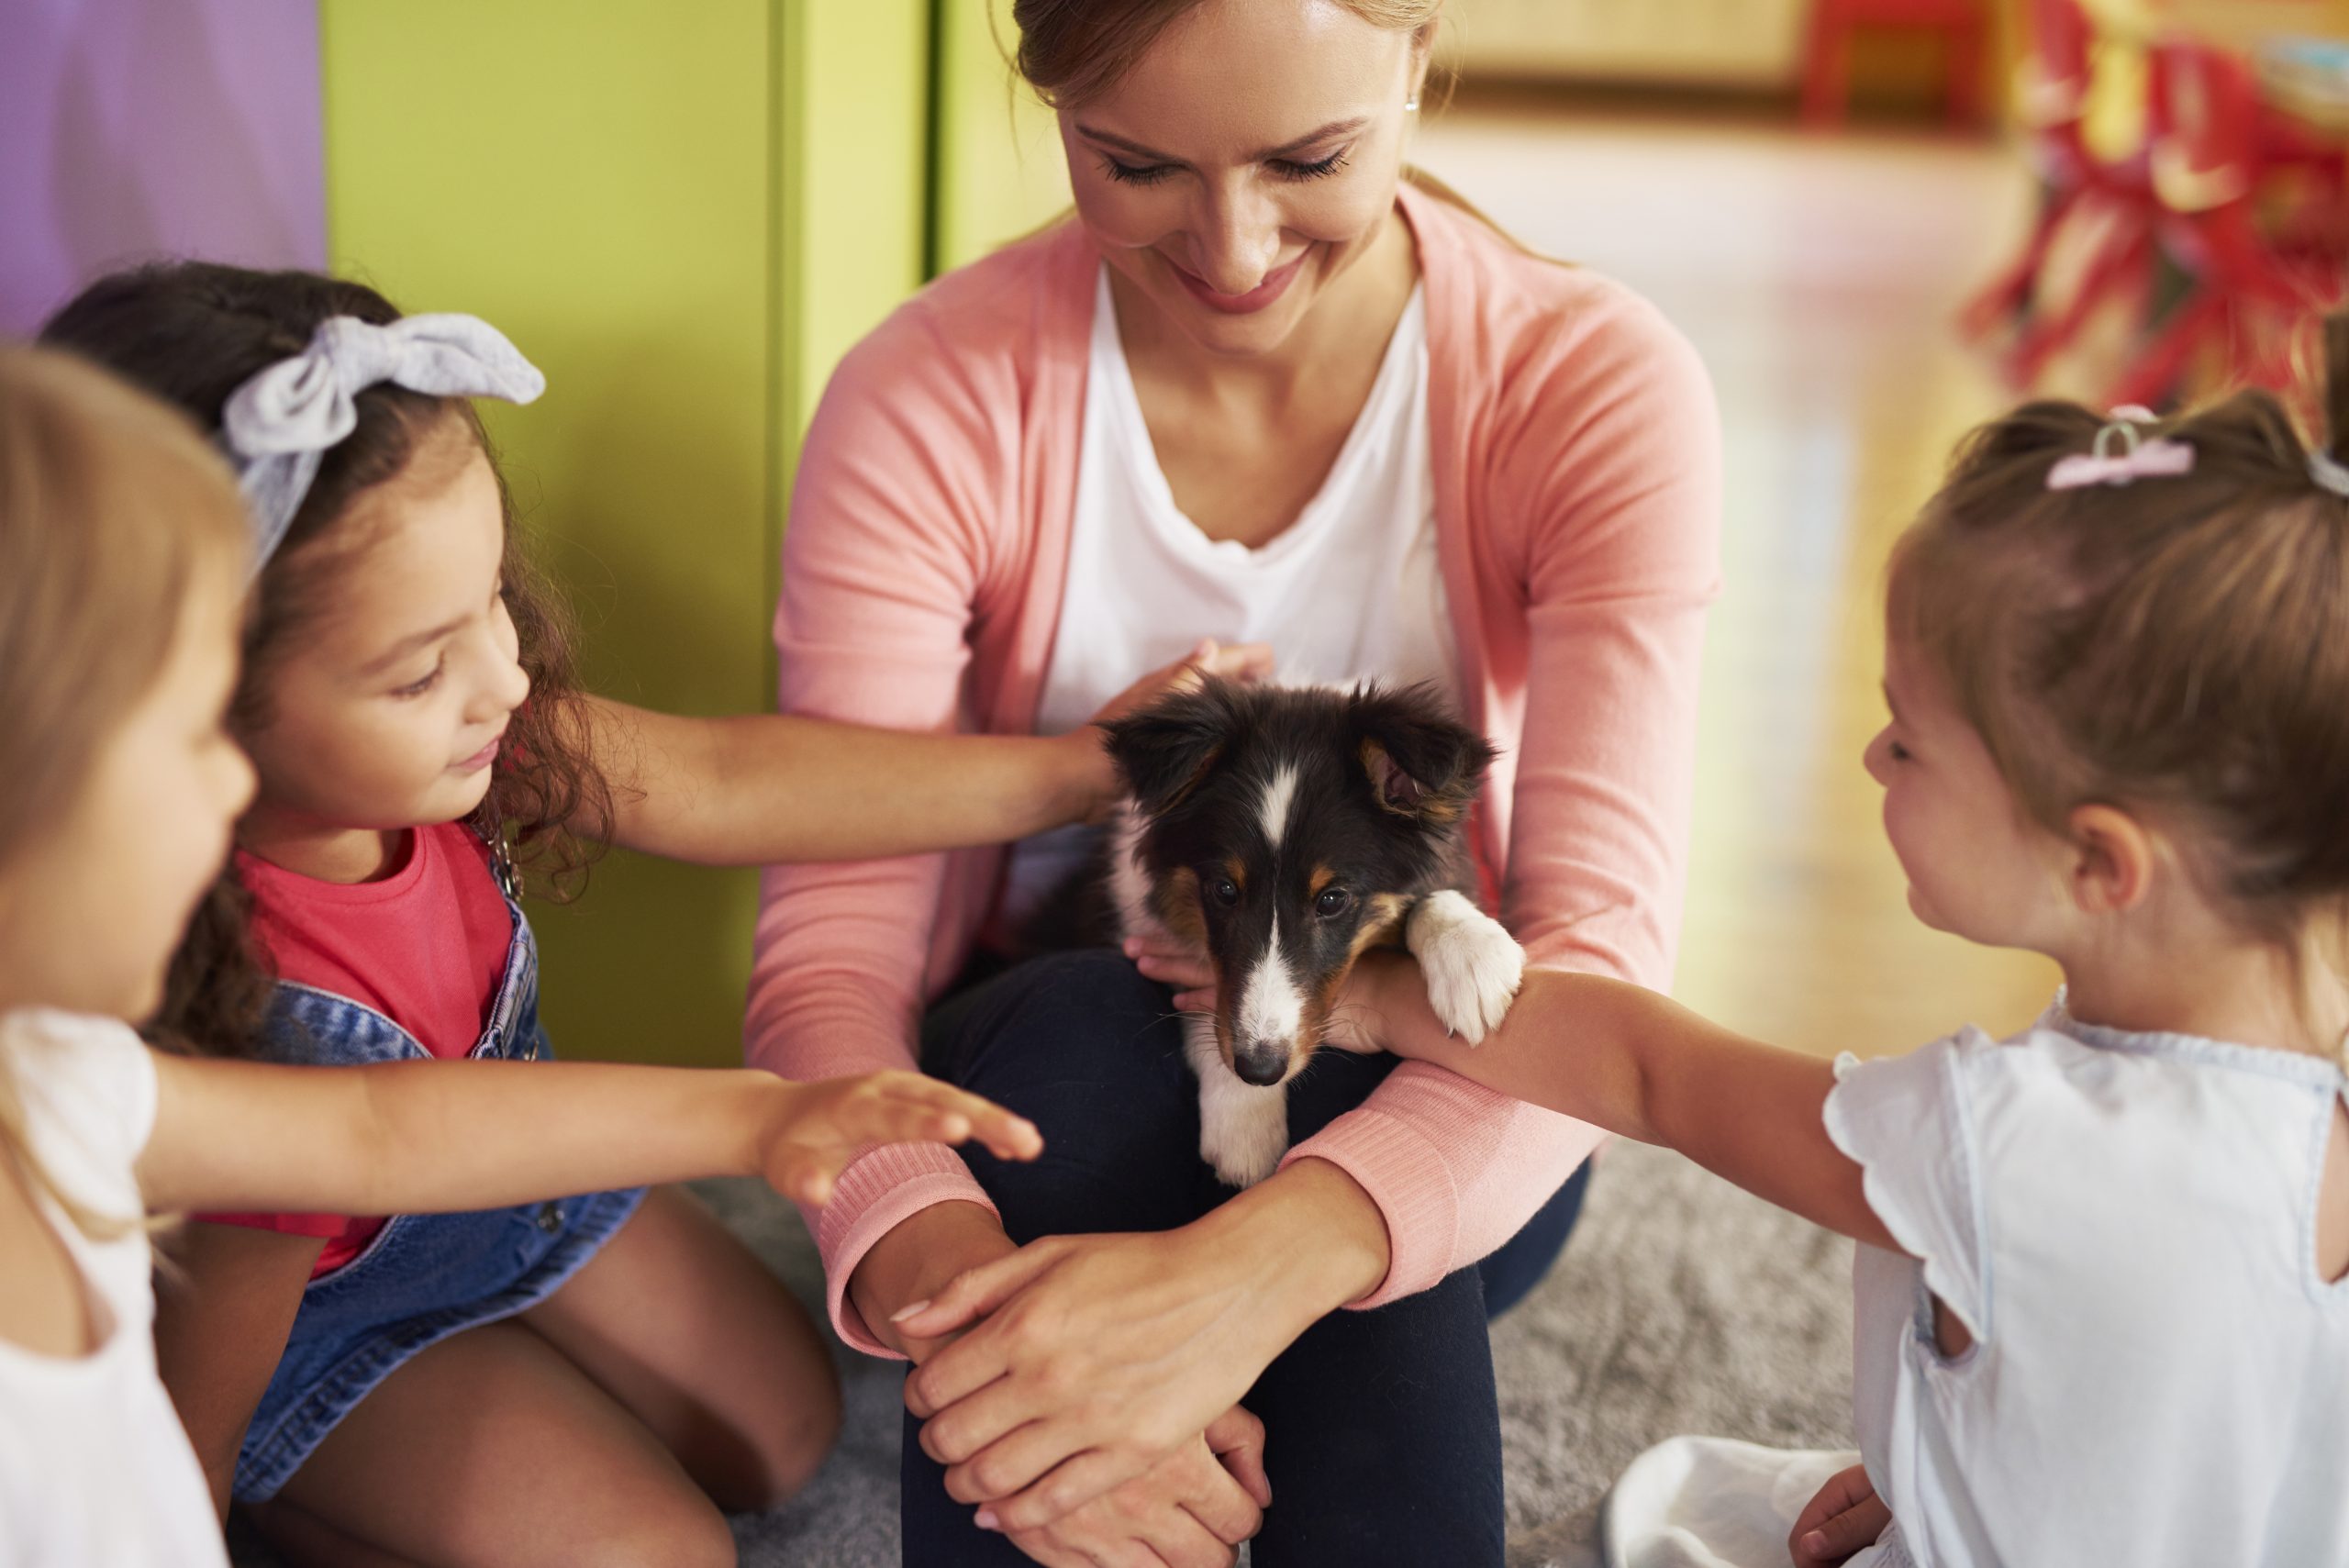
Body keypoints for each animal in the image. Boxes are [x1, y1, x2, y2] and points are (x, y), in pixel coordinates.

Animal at [1094, 680, 1521, 1183]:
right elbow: (1204, 1003)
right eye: (1224, 889)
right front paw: (1244, 1121)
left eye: (1332, 899)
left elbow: (1432, 899)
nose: (1259, 1069)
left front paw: (1473, 958)